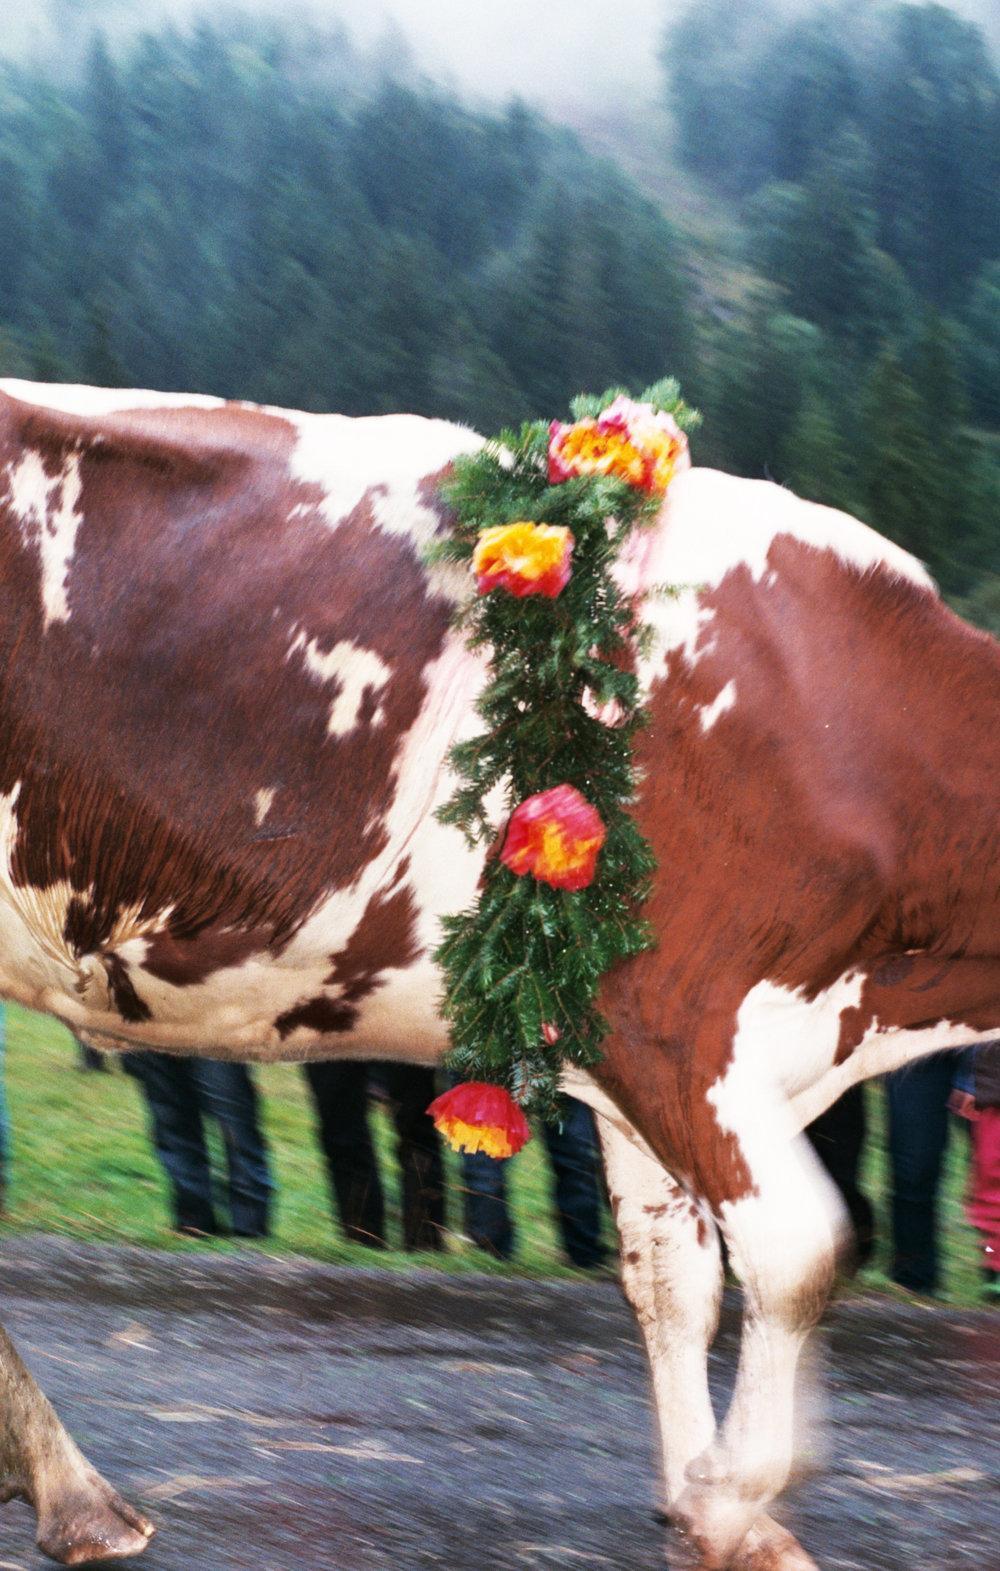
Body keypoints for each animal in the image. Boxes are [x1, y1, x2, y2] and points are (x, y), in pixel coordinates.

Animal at [0, 377, 996, 1571]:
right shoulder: (673, 1022)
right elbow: (803, 1254)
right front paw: (731, 1493)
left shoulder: (650, 1065)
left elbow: (672, 1283)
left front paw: (704, 1506)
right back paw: (78, 1496)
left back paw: (69, 1490)